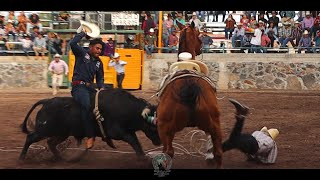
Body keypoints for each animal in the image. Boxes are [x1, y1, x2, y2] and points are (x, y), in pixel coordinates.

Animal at [18, 88, 161, 160]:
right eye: (153, 128)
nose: (159, 142)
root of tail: (47, 101)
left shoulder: (128, 131)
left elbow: (136, 143)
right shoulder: (119, 132)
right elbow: (134, 142)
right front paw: (143, 159)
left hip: (62, 133)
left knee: (51, 143)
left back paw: (60, 158)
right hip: (44, 130)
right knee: (30, 137)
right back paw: (21, 158)